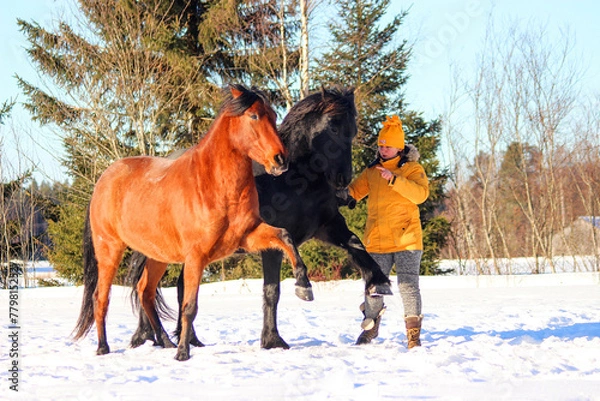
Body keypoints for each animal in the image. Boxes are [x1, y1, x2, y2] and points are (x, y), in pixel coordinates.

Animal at [74, 84, 308, 360]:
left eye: (273, 116)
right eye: (254, 116)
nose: (280, 160)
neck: (214, 185)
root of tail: (103, 180)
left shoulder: (247, 236)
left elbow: (284, 236)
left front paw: (303, 286)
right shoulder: (196, 257)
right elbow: (189, 306)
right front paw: (183, 352)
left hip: (157, 256)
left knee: (145, 292)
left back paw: (165, 342)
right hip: (110, 249)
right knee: (101, 297)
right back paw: (103, 347)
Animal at [129, 86, 392, 348]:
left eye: (353, 130)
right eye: (334, 128)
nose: (343, 179)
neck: (293, 180)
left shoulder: (327, 226)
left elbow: (356, 244)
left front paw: (379, 282)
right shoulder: (272, 245)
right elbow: (272, 291)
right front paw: (274, 338)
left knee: (178, 287)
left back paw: (188, 339)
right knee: (147, 288)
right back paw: (147, 337)